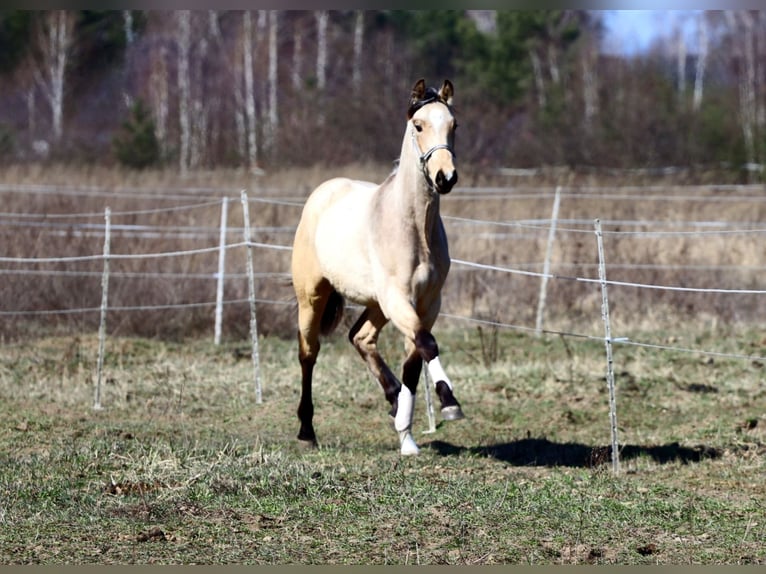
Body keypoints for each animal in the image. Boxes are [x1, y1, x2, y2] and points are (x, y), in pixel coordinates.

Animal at [290, 78, 464, 456]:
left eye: (454, 125)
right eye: (419, 126)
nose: (445, 177)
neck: (413, 229)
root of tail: (322, 193)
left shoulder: (427, 304)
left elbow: (414, 361)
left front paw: (407, 437)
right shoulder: (399, 299)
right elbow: (428, 345)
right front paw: (450, 403)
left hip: (376, 304)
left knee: (361, 338)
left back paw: (394, 401)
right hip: (313, 297)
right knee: (309, 353)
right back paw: (307, 431)